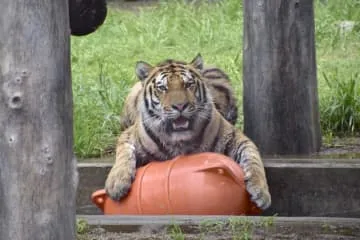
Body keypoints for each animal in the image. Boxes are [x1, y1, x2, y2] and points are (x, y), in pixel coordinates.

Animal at [105, 53, 272, 210]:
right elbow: (123, 154)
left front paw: (261, 192)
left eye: (188, 84)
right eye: (162, 88)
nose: (180, 106)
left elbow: (253, 158)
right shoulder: (129, 135)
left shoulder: (236, 137)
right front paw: (116, 184)